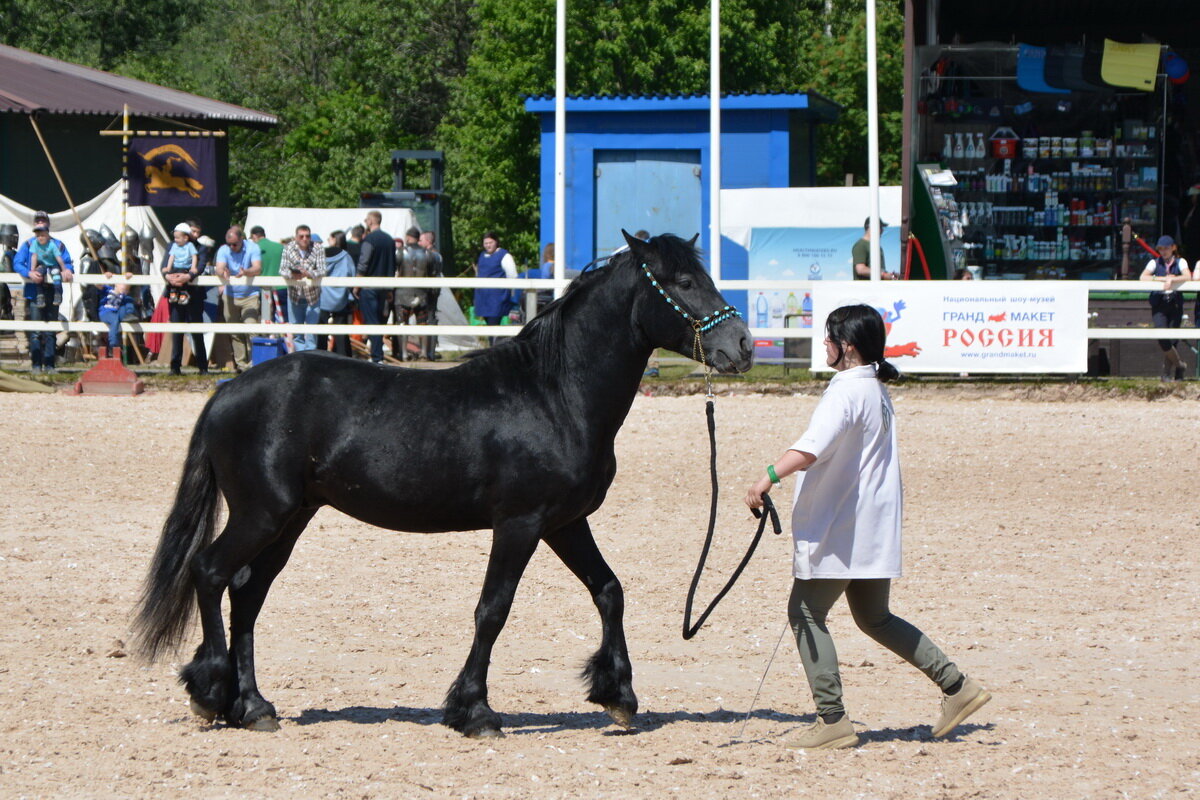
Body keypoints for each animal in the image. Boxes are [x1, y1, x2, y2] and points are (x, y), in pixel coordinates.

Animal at [131, 230, 748, 738]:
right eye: (684, 282)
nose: (740, 345)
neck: (555, 393)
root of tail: (228, 392)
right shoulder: (520, 524)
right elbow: (493, 610)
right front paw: (474, 711)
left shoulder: (565, 523)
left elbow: (609, 590)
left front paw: (618, 695)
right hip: (263, 514)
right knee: (210, 573)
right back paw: (211, 693)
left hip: (291, 518)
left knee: (247, 592)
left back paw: (254, 706)